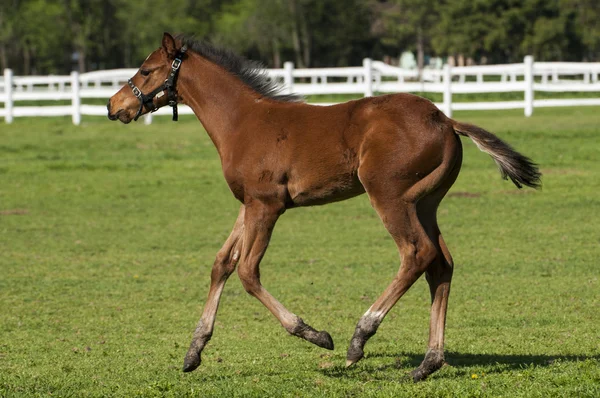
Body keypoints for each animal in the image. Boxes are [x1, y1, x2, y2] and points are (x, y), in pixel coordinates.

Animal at [109, 32, 544, 380]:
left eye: (146, 70)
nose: (115, 106)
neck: (242, 121)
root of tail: (445, 119)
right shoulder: (248, 203)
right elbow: (222, 264)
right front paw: (193, 352)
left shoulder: (267, 205)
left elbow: (248, 272)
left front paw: (315, 334)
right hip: (425, 204)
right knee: (441, 264)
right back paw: (427, 363)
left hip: (389, 196)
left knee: (417, 254)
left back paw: (359, 338)